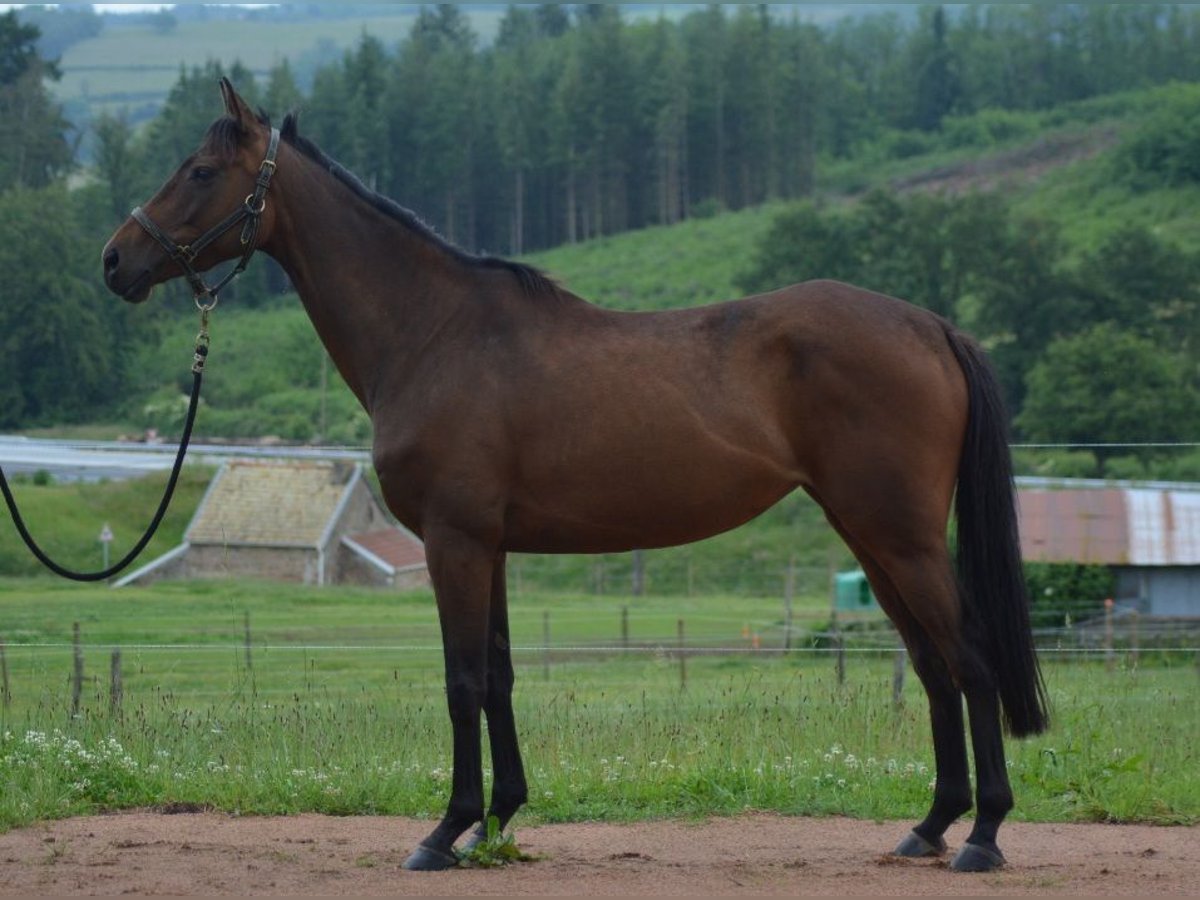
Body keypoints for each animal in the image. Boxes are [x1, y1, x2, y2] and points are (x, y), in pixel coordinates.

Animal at [100, 82, 1051, 873]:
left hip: (901, 536)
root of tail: (929, 326)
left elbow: (463, 682)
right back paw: (930, 826)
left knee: (969, 661)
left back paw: (983, 835)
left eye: (200, 170)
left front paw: (445, 832)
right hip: (871, 535)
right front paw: (496, 823)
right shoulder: (490, 546)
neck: (433, 332)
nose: (115, 260)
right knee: (933, 665)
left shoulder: (454, 542)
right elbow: (500, 676)